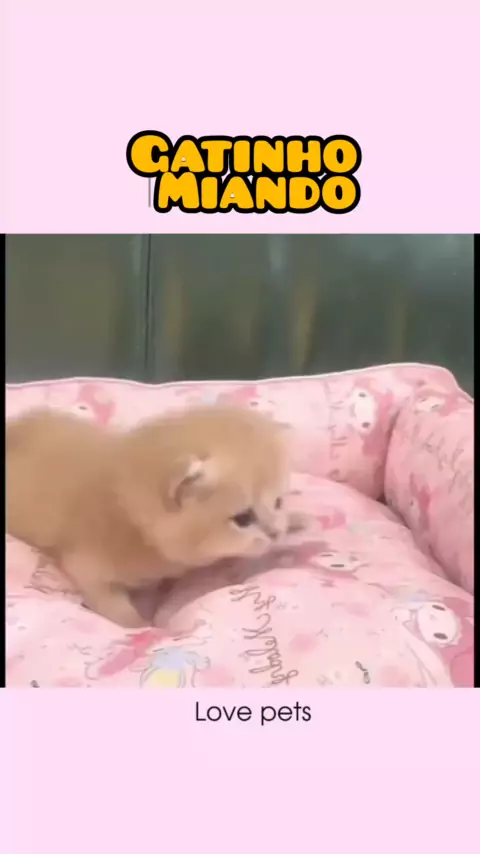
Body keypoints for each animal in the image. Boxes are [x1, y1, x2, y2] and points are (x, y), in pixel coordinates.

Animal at [6, 404, 294, 628]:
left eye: (278, 502)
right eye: (243, 519)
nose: (276, 533)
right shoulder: (85, 565)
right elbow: (113, 605)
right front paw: (141, 627)